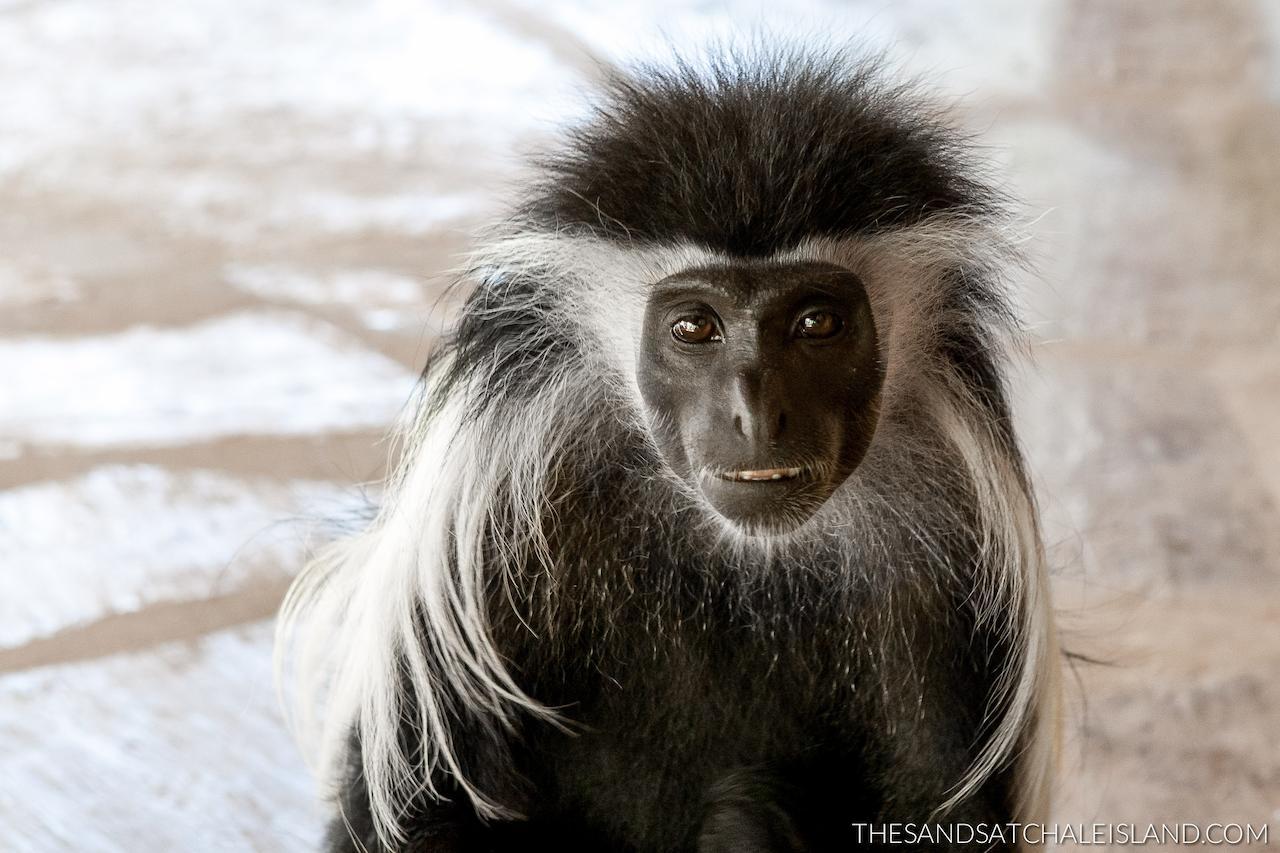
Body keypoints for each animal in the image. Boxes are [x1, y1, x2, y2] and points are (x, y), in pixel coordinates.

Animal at [277, 44, 1059, 850]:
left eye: (816, 323)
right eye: (695, 328)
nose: (756, 413)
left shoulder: (952, 523)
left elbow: (938, 801)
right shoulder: (493, 501)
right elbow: (424, 799)